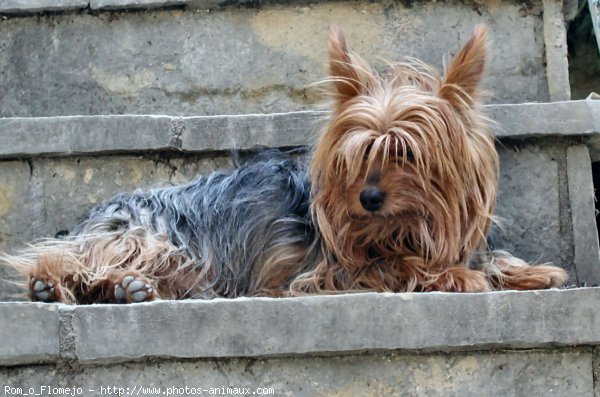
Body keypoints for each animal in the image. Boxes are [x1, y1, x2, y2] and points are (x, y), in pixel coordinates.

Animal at [1, 25, 568, 304]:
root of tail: (97, 211)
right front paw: (457, 276)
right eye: (357, 156)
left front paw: (529, 271)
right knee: (67, 257)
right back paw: (56, 285)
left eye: (405, 153)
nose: (368, 198)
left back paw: (126, 290)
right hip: (148, 235)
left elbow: (491, 259)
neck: (401, 228)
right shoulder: (324, 272)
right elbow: (399, 267)